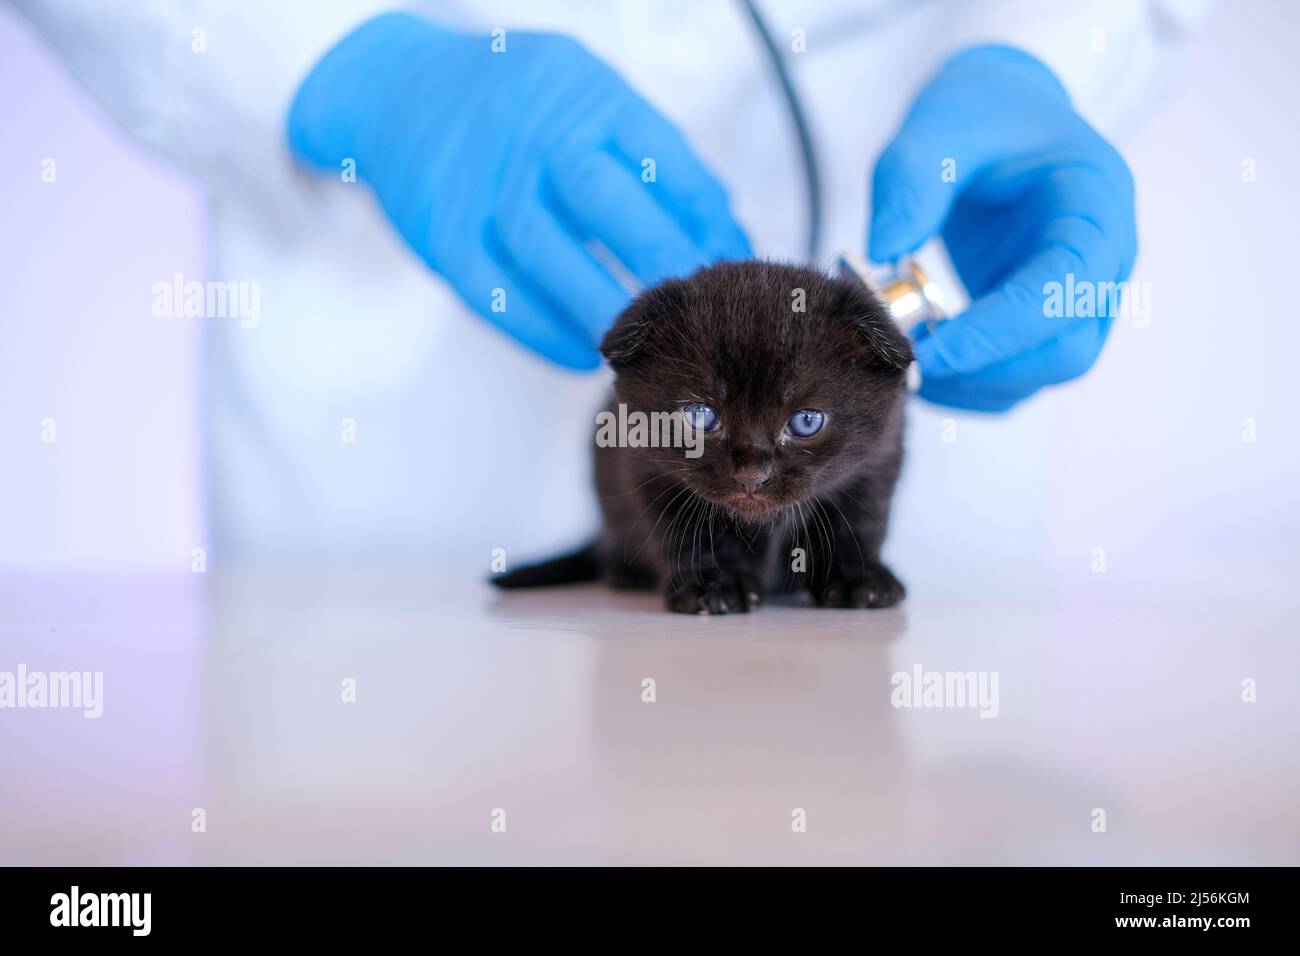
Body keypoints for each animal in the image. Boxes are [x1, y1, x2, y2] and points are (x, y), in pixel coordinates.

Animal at [496, 260, 915, 613]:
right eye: (700, 416)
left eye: (806, 421)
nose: (751, 475)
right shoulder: (650, 472)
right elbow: (688, 536)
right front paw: (711, 586)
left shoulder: (876, 463)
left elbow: (856, 526)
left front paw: (859, 579)